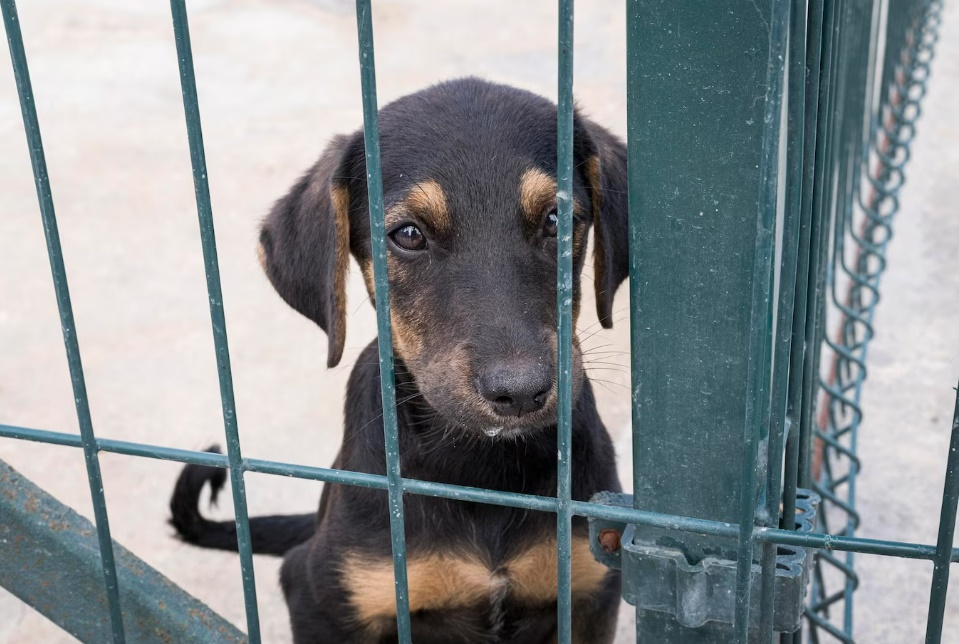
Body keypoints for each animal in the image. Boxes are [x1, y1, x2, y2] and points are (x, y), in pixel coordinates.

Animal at [169, 78, 632, 640]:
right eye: (408, 234)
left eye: (557, 218)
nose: (521, 391)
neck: (480, 467)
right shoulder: (322, 592)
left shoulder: (590, 590)